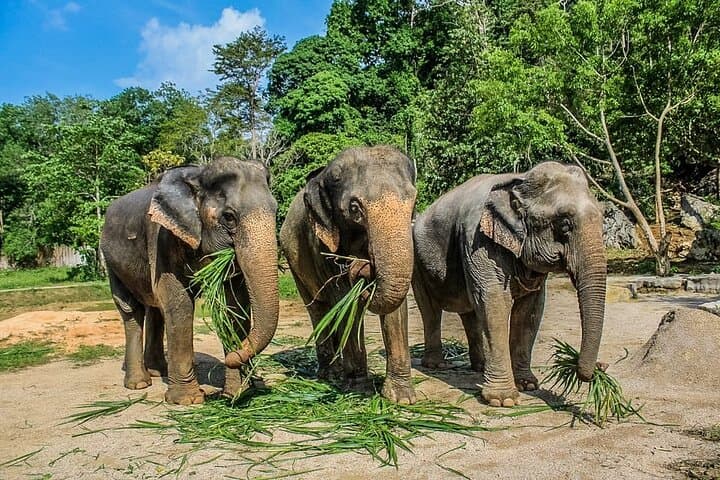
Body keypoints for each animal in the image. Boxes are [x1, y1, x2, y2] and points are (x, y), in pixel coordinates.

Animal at [100, 156, 279, 405]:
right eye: (229, 217)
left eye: (276, 211)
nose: (233, 357)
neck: (197, 174)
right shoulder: (161, 236)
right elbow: (179, 302)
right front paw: (188, 400)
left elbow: (234, 306)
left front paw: (237, 393)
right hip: (111, 261)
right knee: (131, 309)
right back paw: (139, 384)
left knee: (155, 309)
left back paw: (159, 371)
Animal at [279, 145, 417, 404]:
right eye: (354, 209)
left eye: (414, 204)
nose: (361, 265)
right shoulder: (323, 246)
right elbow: (345, 301)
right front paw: (358, 391)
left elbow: (396, 310)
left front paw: (401, 399)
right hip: (294, 263)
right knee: (319, 309)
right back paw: (331, 375)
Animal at [412, 161, 606, 407]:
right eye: (564, 225)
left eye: (603, 219)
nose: (599, 368)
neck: (519, 179)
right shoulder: (477, 239)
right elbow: (494, 301)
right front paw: (503, 400)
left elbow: (530, 310)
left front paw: (528, 385)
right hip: (416, 262)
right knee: (430, 310)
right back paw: (437, 365)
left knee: (471, 312)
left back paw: (480, 367)